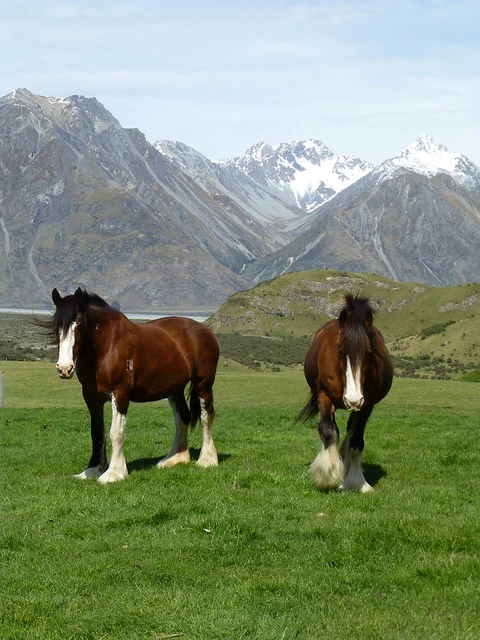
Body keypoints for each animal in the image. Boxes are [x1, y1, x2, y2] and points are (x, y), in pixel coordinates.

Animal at [47, 288, 219, 482]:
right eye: (56, 325)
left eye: (79, 323)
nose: (64, 368)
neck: (107, 346)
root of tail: (205, 331)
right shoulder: (91, 396)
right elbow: (96, 431)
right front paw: (92, 470)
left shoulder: (120, 394)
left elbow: (116, 432)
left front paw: (114, 473)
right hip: (175, 390)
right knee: (182, 417)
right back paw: (175, 458)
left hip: (203, 384)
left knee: (206, 416)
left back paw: (207, 460)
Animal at [296, 292, 394, 492]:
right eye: (340, 351)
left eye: (369, 352)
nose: (352, 400)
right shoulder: (324, 396)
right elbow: (327, 431)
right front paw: (327, 476)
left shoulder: (367, 404)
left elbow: (356, 440)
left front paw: (357, 482)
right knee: (335, 429)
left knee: (350, 429)